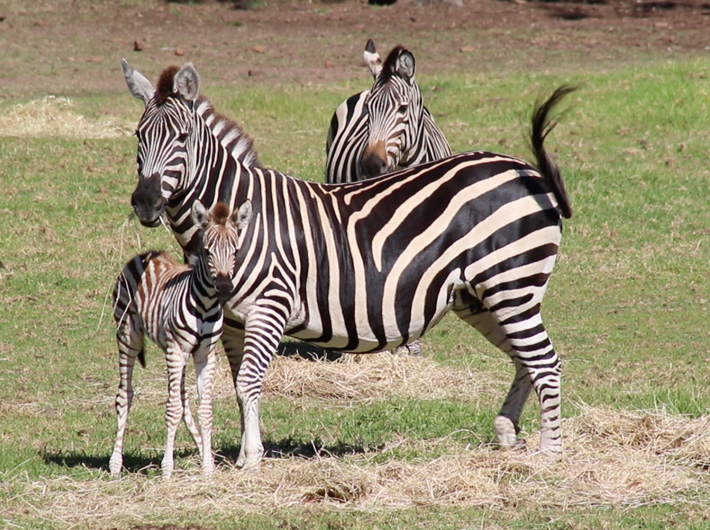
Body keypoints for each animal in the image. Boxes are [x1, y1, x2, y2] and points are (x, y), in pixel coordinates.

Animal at [110, 199, 252, 479]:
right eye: (207, 251)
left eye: (235, 251)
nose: (224, 287)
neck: (205, 304)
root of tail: (146, 254)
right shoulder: (176, 350)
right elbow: (172, 409)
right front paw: (167, 470)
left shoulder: (205, 353)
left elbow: (204, 410)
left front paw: (207, 467)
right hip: (128, 334)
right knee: (124, 395)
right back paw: (115, 465)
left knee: (183, 398)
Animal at [122, 59, 574, 470]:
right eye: (139, 135)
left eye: (182, 137)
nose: (145, 202)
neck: (234, 218)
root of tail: (524, 169)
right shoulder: (231, 320)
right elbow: (237, 386)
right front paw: (243, 455)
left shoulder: (270, 305)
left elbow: (250, 382)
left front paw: (251, 462)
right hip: (479, 296)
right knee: (524, 358)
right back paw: (508, 432)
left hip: (511, 284)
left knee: (544, 361)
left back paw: (550, 456)